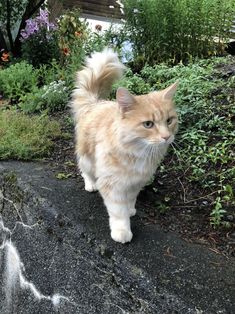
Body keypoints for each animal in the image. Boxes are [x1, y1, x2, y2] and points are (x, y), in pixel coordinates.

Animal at [71, 49, 178, 244]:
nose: (167, 137)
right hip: (88, 158)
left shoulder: (136, 183)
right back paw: (90, 184)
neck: (138, 152)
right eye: (148, 124)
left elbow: (130, 200)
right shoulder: (112, 184)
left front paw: (130, 210)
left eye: (169, 121)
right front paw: (122, 230)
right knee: (84, 170)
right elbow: (118, 211)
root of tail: (96, 102)